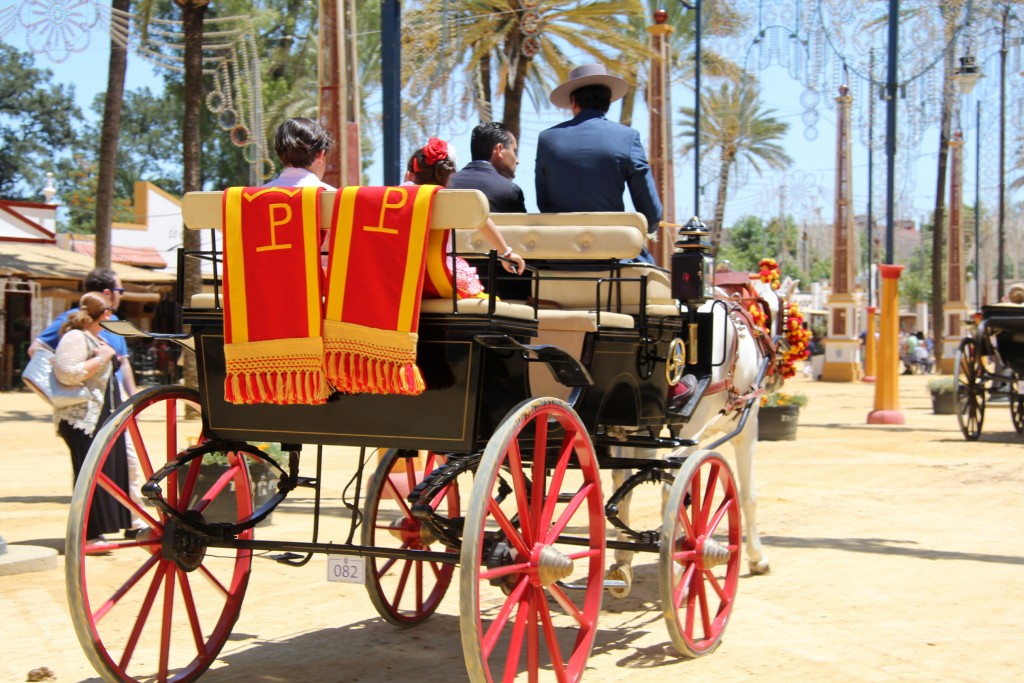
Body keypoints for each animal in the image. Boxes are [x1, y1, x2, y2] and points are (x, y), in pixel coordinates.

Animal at [602, 274, 794, 593]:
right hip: (692, 425)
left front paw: (626, 556)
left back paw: (621, 565)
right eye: (788, 315)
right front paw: (757, 558)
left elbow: (629, 482)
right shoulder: (747, 427)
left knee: (621, 479)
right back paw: (682, 563)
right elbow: (747, 495)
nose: (778, 374)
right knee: (671, 487)